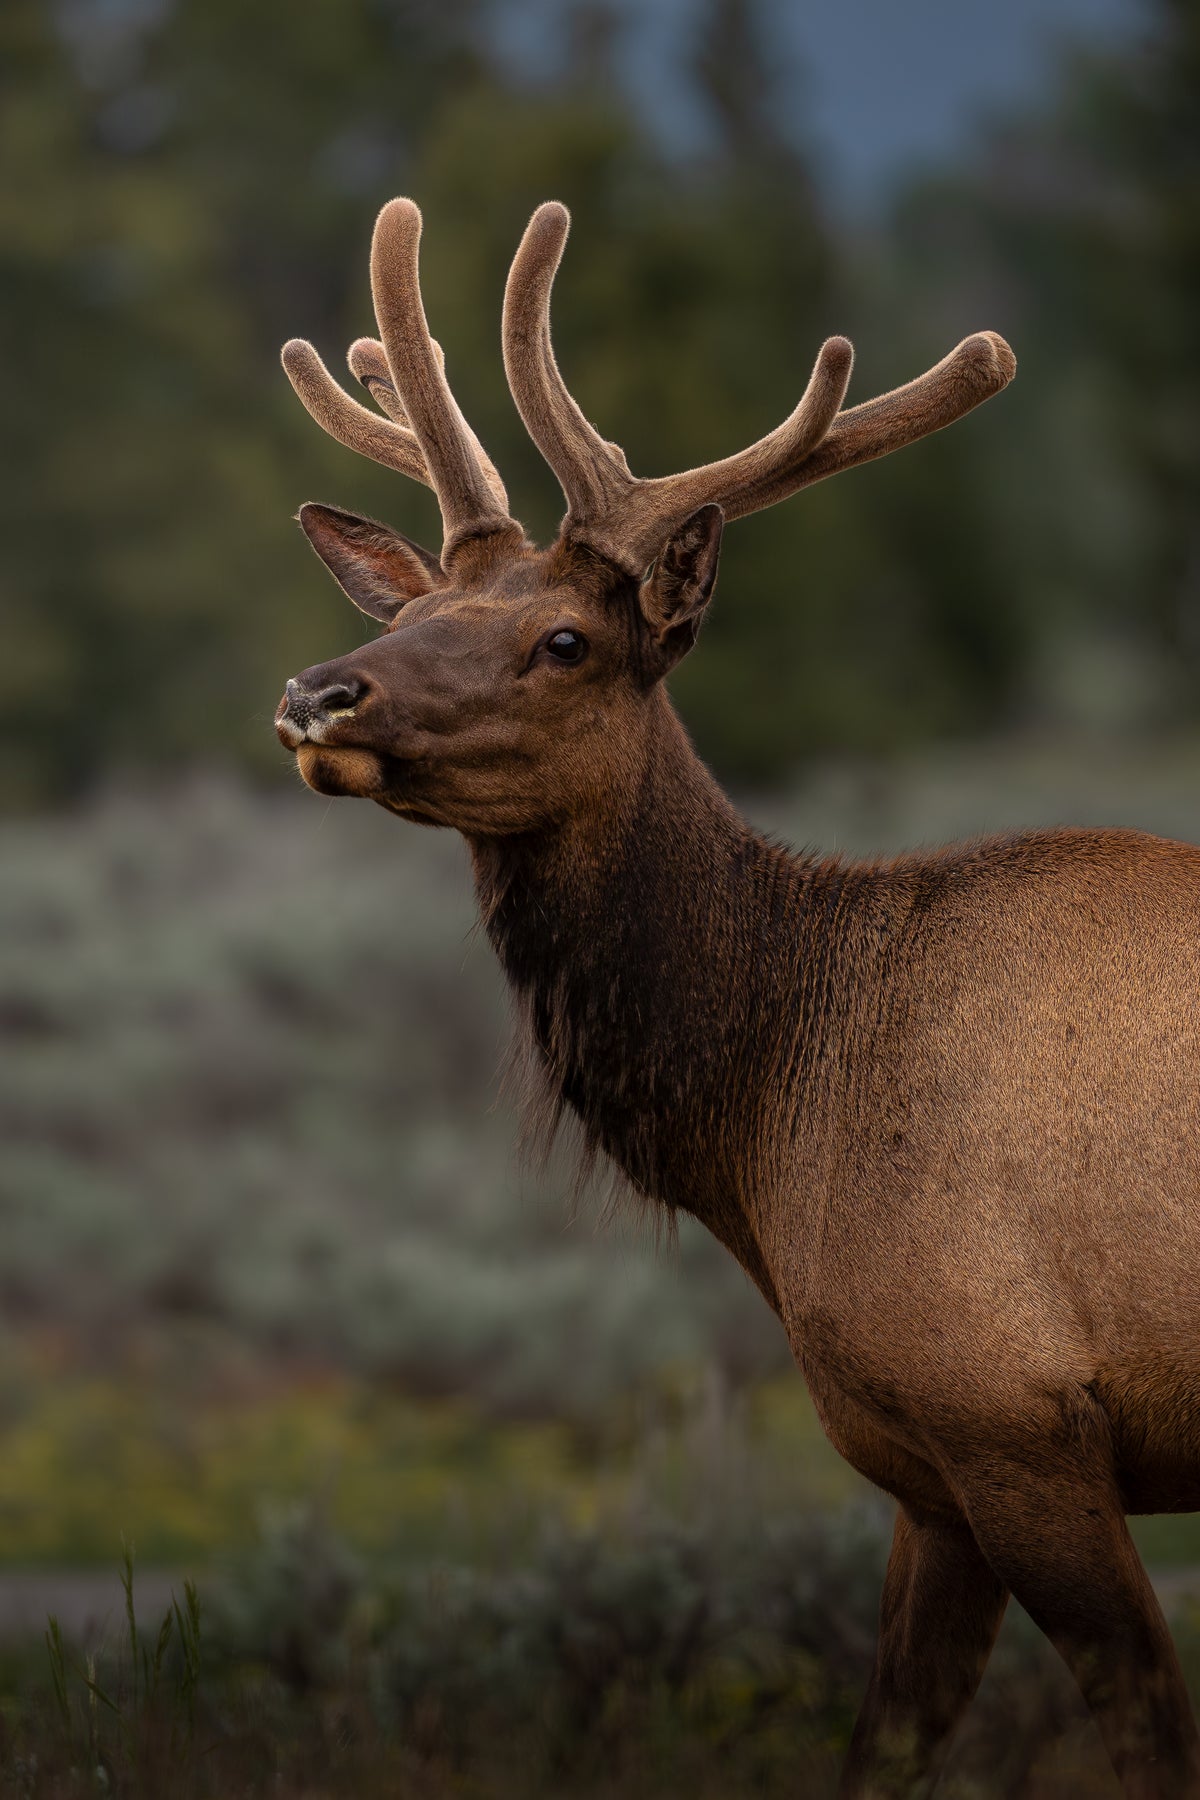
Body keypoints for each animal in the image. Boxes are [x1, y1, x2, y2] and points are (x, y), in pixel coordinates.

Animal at [274, 197, 1200, 1799]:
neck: (776, 1125)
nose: (323, 693)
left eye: (566, 641)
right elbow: (886, 1740)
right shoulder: (926, 1473)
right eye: (421, 607)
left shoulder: (1016, 1416)